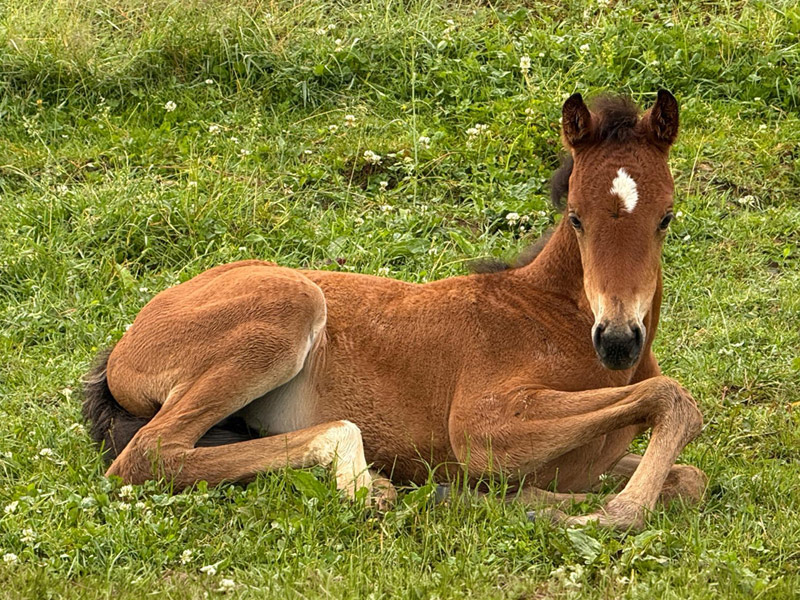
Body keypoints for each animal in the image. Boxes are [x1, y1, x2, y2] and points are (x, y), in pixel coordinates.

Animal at [83, 90, 706, 530]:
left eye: (667, 216)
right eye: (576, 216)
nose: (619, 339)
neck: (554, 316)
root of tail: (122, 347)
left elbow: (690, 474)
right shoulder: (486, 426)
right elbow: (670, 398)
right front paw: (604, 511)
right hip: (288, 310)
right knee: (149, 454)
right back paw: (371, 484)